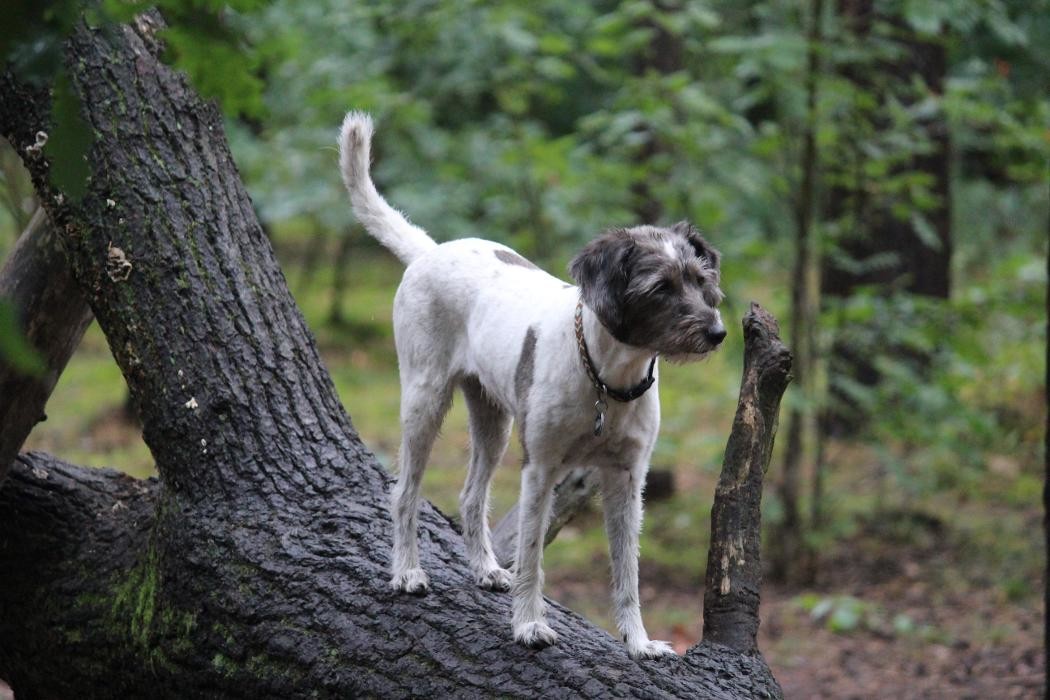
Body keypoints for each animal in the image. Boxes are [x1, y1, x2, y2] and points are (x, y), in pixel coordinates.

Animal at [340, 112, 726, 659]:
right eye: (661, 287)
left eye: (700, 280)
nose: (717, 333)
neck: (607, 382)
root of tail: (430, 251)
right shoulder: (540, 470)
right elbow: (532, 558)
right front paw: (527, 624)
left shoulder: (628, 479)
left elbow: (627, 571)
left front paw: (638, 642)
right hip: (424, 401)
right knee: (405, 492)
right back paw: (407, 572)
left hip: (493, 421)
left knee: (470, 495)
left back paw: (484, 568)